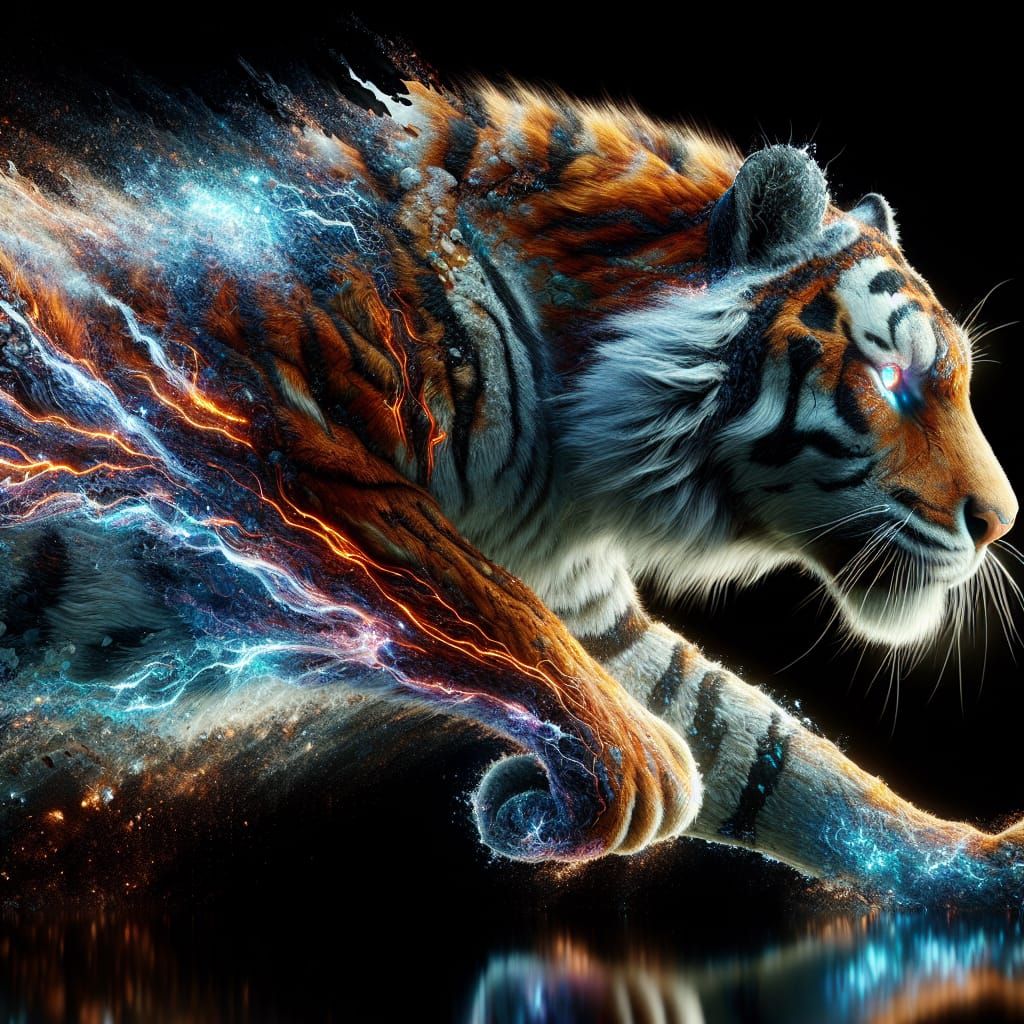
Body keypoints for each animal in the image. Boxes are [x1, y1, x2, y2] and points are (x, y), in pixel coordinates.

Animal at [0, 57, 1020, 906]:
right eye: (895, 379)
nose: (1000, 523)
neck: (575, 460)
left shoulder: (589, 607)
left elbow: (765, 748)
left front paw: (977, 867)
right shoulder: (289, 462)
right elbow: (495, 608)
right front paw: (638, 772)